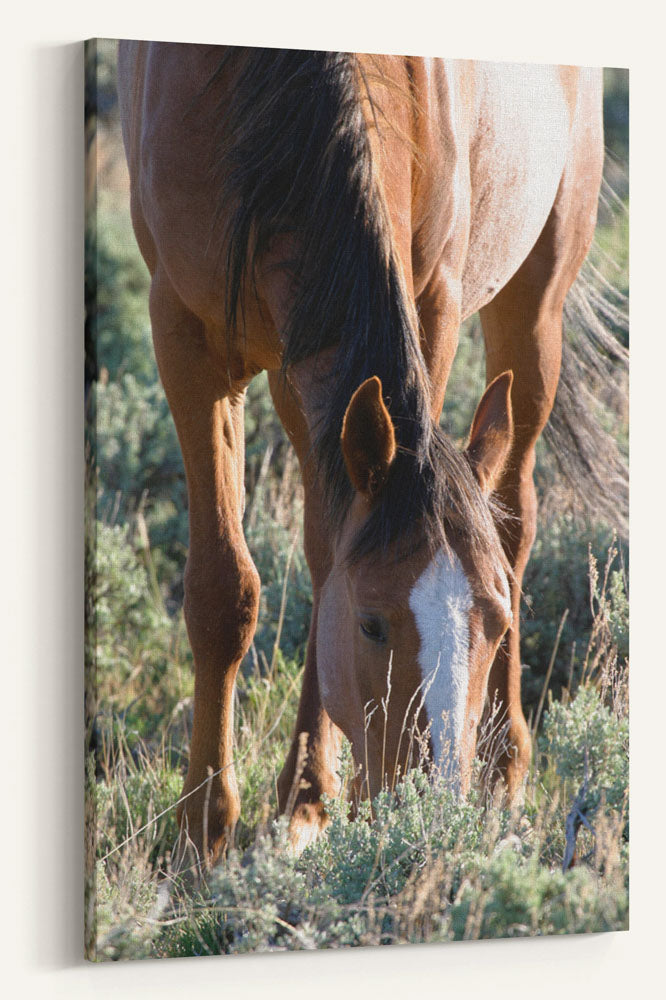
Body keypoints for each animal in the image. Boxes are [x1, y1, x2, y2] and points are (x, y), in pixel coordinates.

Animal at [116, 43, 604, 868]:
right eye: (373, 624)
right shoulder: (187, 338)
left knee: (515, 517)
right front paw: (203, 834)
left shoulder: (432, 306)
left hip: (536, 299)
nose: (432, 821)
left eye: (497, 621)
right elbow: (226, 590)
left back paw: (505, 767)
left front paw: (302, 804)